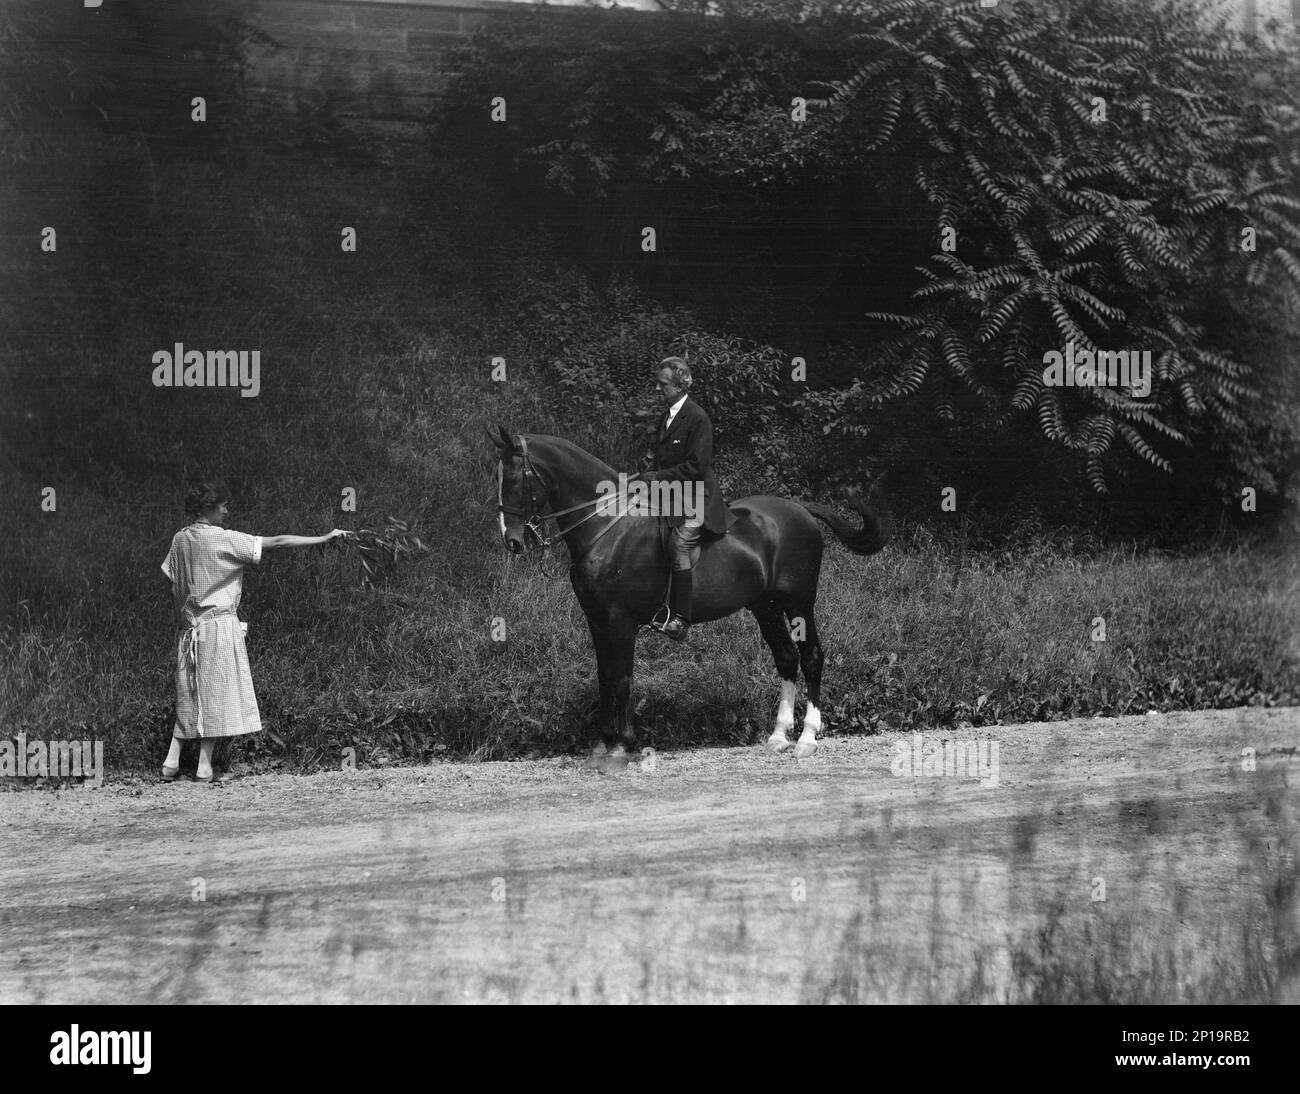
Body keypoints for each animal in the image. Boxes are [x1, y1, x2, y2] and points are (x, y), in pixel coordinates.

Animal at [491, 423, 889, 758]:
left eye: (513, 477)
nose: (511, 541)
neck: (607, 526)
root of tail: (800, 510)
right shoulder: (599, 620)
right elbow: (605, 677)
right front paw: (604, 743)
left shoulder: (619, 621)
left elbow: (621, 678)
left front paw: (621, 745)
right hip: (765, 606)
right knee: (787, 659)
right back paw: (778, 736)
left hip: (799, 602)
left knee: (811, 657)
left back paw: (807, 738)